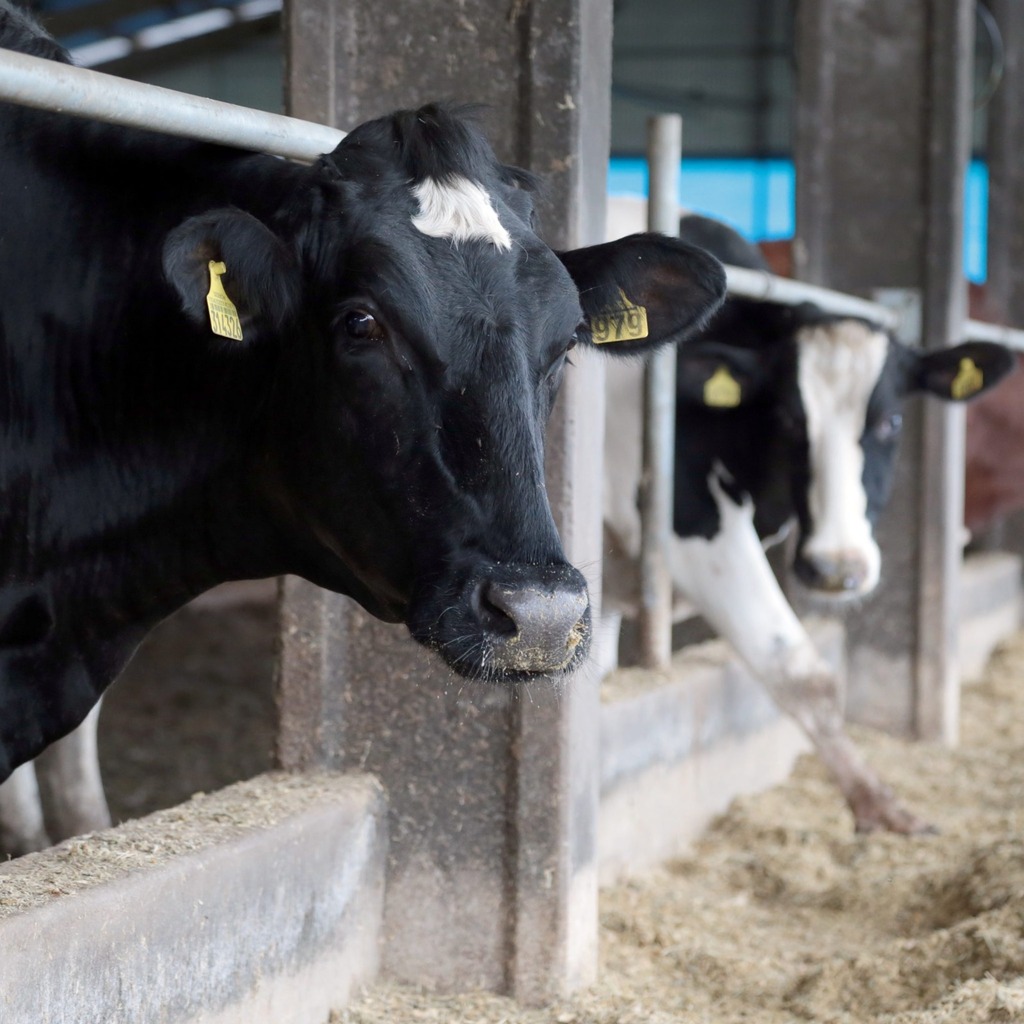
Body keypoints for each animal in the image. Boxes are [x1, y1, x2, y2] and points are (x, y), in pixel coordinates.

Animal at [602, 214, 1011, 831]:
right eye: (790, 418)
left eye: (891, 421)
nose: (836, 571)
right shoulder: (688, 523)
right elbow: (801, 670)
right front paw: (876, 802)